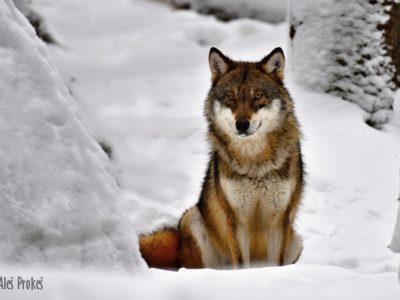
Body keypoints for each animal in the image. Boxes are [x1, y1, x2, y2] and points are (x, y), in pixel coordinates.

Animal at [139, 47, 304, 270]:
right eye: (231, 96)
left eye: (258, 96)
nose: (242, 124)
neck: (254, 162)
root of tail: (179, 247)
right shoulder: (235, 218)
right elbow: (241, 263)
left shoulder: (279, 219)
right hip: (193, 218)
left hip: (296, 240)